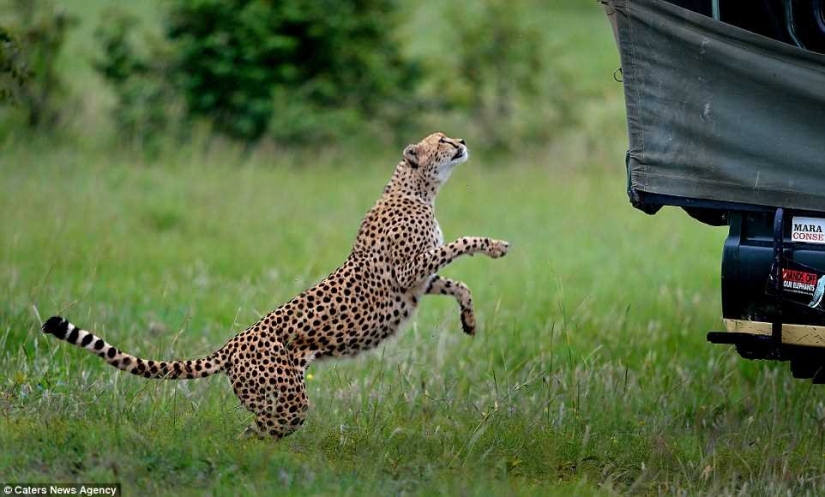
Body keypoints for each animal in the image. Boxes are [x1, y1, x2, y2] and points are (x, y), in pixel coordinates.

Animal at [45, 133, 512, 438]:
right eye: (441, 139)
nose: (461, 140)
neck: (418, 188)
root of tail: (232, 344)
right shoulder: (409, 273)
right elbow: (460, 244)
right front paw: (494, 245)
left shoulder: (420, 282)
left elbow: (458, 283)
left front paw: (470, 320)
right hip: (287, 397)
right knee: (261, 429)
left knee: (259, 429)